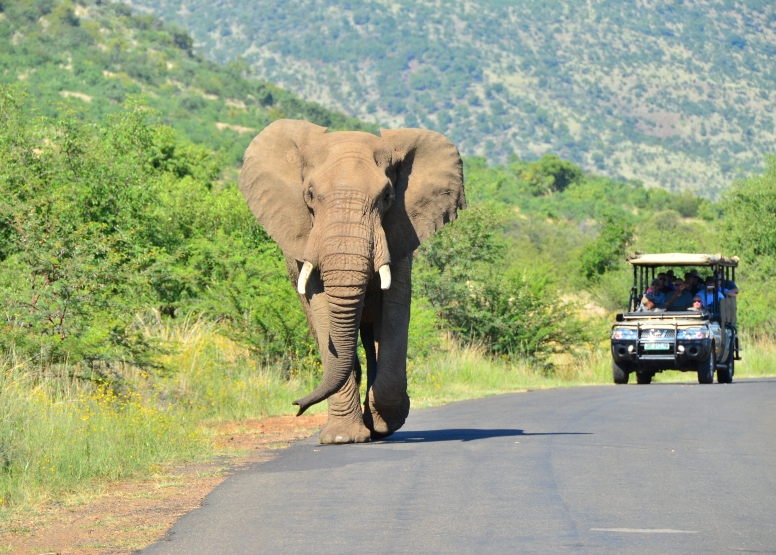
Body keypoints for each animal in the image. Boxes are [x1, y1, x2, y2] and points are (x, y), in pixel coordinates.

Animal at [239, 119, 464, 446]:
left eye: (387, 197)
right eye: (309, 195)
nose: (297, 406)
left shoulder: (399, 233)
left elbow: (394, 310)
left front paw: (385, 423)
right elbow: (321, 309)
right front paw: (341, 438)